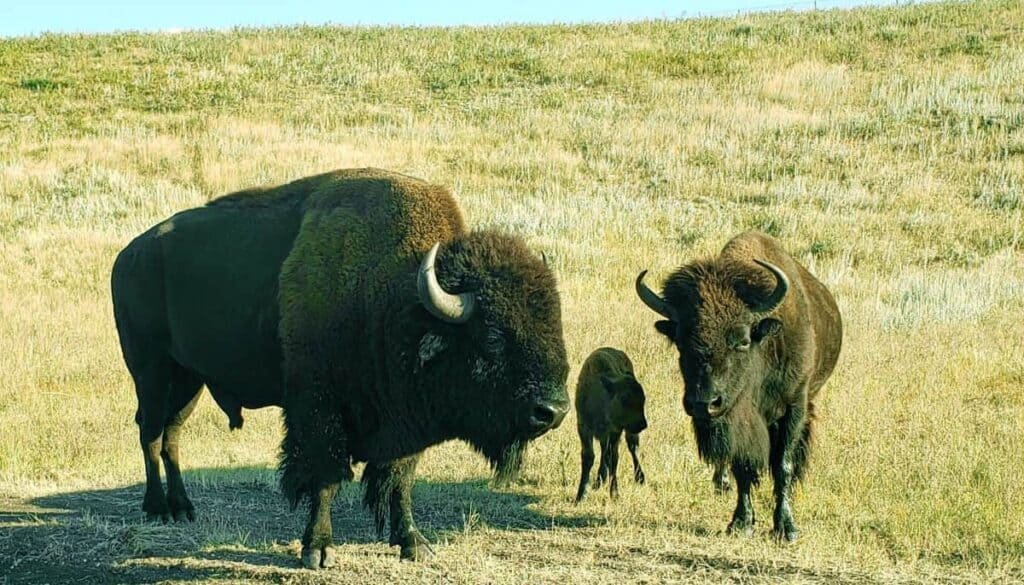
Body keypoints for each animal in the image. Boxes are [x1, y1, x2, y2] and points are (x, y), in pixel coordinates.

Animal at [111, 168, 570, 567]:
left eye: (554, 325)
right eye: (493, 338)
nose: (553, 411)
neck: (393, 299)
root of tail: (128, 254)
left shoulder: (405, 423)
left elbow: (400, 481)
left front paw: (414, 544)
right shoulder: (319, 409)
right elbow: (327, 475)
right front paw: (317, 550)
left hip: (189, 380)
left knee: (171, 435)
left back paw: (183, 507)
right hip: (150, 371)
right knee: (151, 433)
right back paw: (158, 508)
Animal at [573, 347, 648, 503]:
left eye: (643, 399)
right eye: (624, 398)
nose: (642, 424)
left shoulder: (615, 431)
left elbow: (614, 457)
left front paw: (614, 493)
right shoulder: (583, 427)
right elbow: (589, 456)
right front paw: (580, 496)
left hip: (628, 432)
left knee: (633, 448)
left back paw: (640, 478)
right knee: (604, 452)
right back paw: (599, 481)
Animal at [635, 231, 842, 542]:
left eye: (743, 341)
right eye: (680, 340)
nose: (704, 403)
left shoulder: (793, 407)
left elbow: (783, 465)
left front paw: (786, 528)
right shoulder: (733, 421)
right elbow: (742, 467)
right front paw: (741, 523)